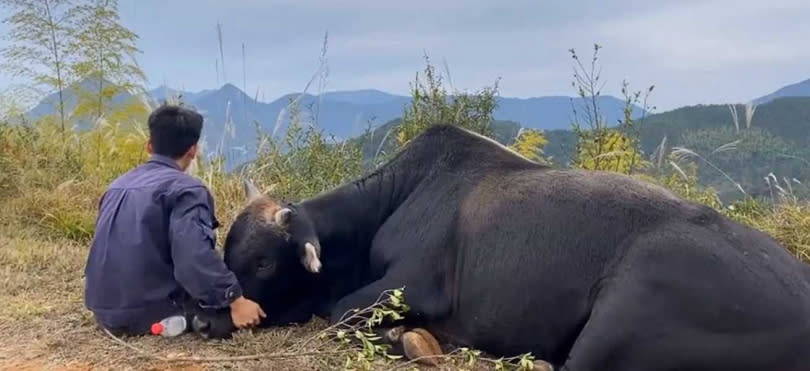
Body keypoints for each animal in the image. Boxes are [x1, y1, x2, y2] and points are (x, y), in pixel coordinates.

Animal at [196, 125, 808, 371]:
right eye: (227, 249)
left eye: (263, 260)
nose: (203, 320)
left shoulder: (413, 285)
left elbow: (340, 312)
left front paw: (410, 338)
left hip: (620, 317)